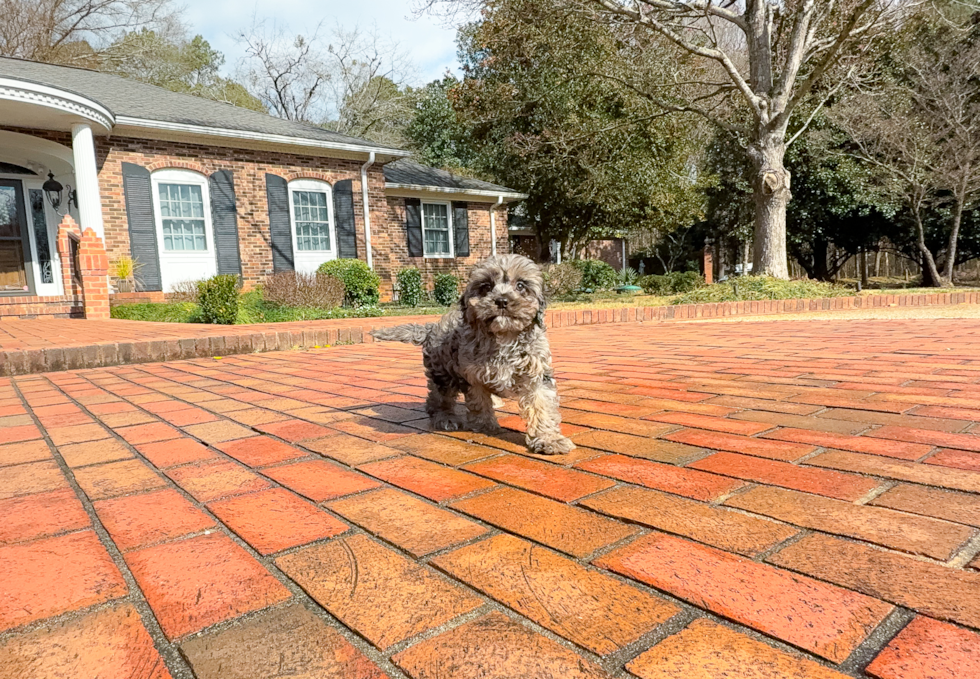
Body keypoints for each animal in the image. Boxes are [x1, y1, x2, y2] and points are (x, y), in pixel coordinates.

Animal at [374, 255, 576, 456]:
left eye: (520, 285)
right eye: (486, 286)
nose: (501, 301)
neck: (504, 336)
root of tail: (431, 328)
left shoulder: (537, 373)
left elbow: (541, 406)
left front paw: (549, 439)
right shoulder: (471, 373)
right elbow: (479, 401)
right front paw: (485, 425)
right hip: (443, 372)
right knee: (438, 399)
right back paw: (445, 418)